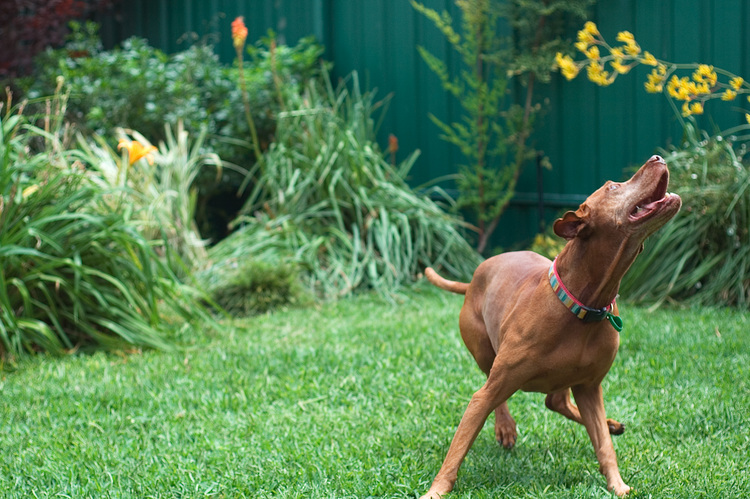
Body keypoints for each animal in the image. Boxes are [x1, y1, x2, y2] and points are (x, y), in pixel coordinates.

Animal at [420, 155, 684, 496]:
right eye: (613, 187)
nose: (658, 158)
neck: (582, 306)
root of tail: (474, 277)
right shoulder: (487, 392)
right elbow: (459, 446)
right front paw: (436, 490)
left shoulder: (590, 387)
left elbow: (604, 446)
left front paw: (617, 484)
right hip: (484, 353)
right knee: (501, 394)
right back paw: (505, 427)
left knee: (557, 402)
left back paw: (610, 424)